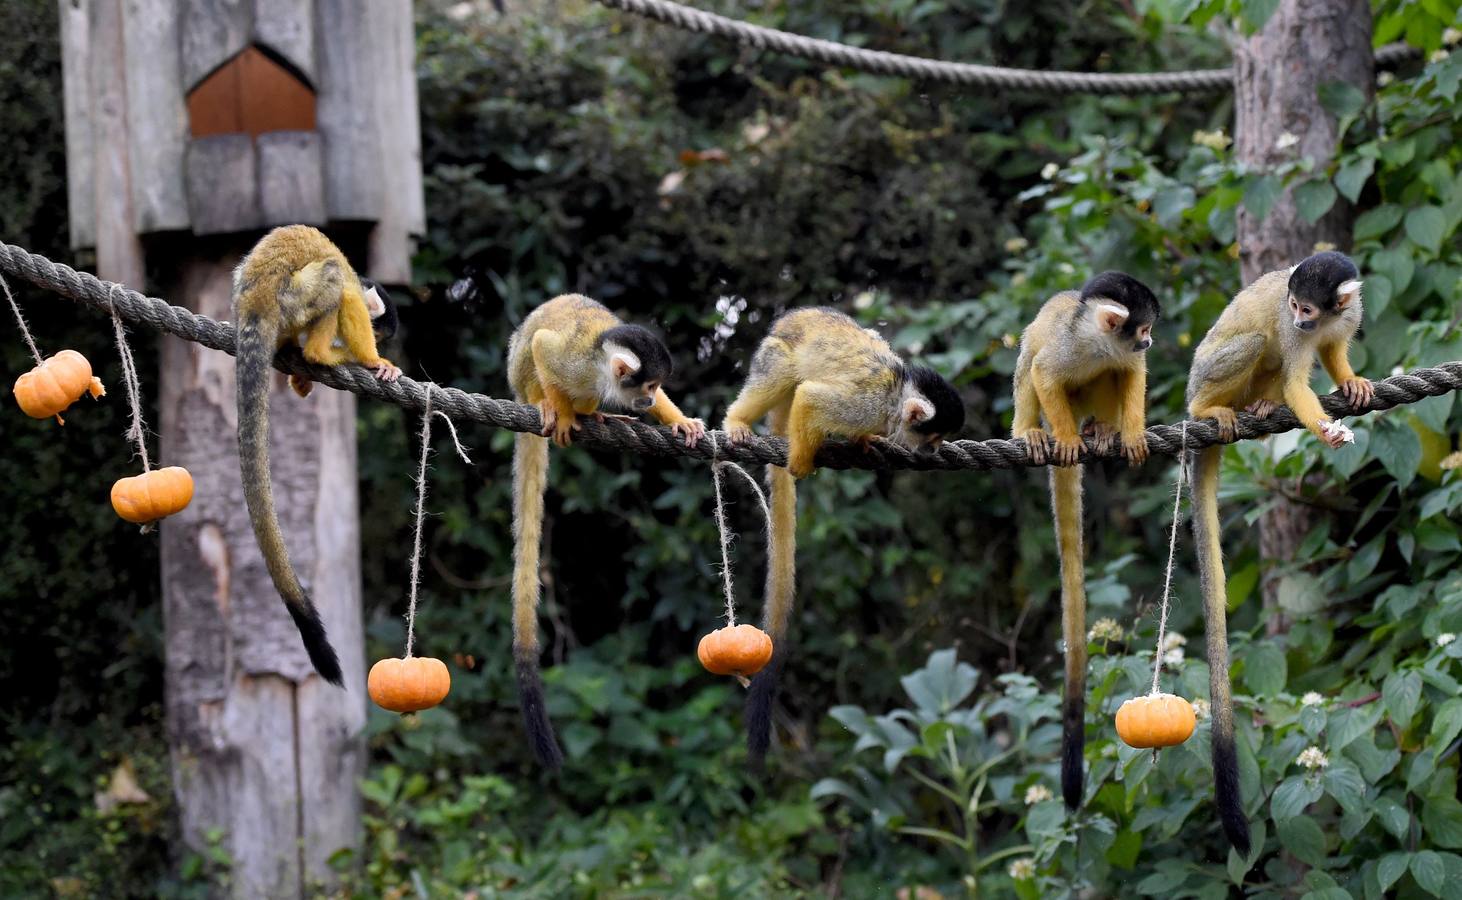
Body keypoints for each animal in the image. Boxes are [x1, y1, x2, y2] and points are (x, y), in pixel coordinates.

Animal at [234, 225, 402, 687]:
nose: (379, 344)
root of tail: (255, 299)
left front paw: (301, 381)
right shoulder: (354, 286)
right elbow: (349, 298)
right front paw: (373, 358)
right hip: (294, 297)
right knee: (330, 280)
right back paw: (320, 354)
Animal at [507, 294, 705, 768]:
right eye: (646, 386)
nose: (649, 401)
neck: (601, 369)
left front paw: (679, 418)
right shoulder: (573, 364)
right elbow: (544, 346)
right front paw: (558, 411)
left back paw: (594, 414)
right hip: (519, 375)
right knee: (531, 352)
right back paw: (549, 405)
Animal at [721, 307, 964, 764]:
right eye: (933, 435)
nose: (932, 452)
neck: (895, 401)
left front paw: (863, 441)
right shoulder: (866, 407)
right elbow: (813, 398)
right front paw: (800, 460)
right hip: (773, 352)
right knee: (782, 375)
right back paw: (740, 421)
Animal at [1009, 271, 1161, 812]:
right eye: (1143, 329)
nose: (1150, 341)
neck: (1098, 343)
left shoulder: (1121, 357)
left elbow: (1131, 376)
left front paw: (1130, 432)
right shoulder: (1069, 348)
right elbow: (1043, 372)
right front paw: (1066, 441)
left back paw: (1104, 428)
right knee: (1028, 360)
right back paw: (1038, 432)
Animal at [1185, 250, 1369, 856]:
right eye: (1295, 307)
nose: (1299, 319)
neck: (1322, 318)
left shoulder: (1347, 314)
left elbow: (1333, 351)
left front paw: (1351, 381)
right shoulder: (1293, 334)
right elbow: (1294, 375)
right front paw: (1324, 428)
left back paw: (1261, 406)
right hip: (1206, 371)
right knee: (1253, 344)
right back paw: (1209, 409)